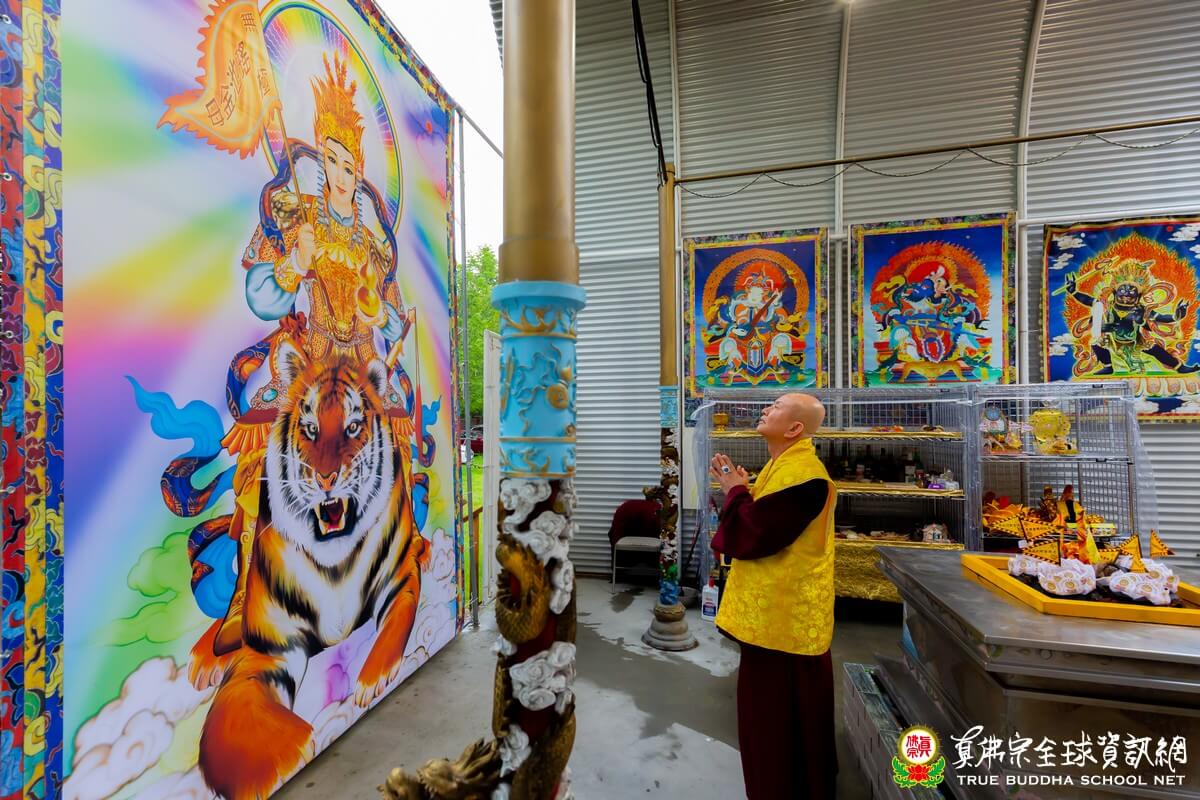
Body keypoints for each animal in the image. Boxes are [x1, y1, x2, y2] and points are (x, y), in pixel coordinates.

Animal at [196, 338, 426, 800]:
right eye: (311, 429)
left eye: (354, 428)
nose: (325, 479)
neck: (334, 562)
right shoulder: (269, 649)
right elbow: (242, 731)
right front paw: (297, 748)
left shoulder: (400, 580)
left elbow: (393, 627)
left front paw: (370, 682)